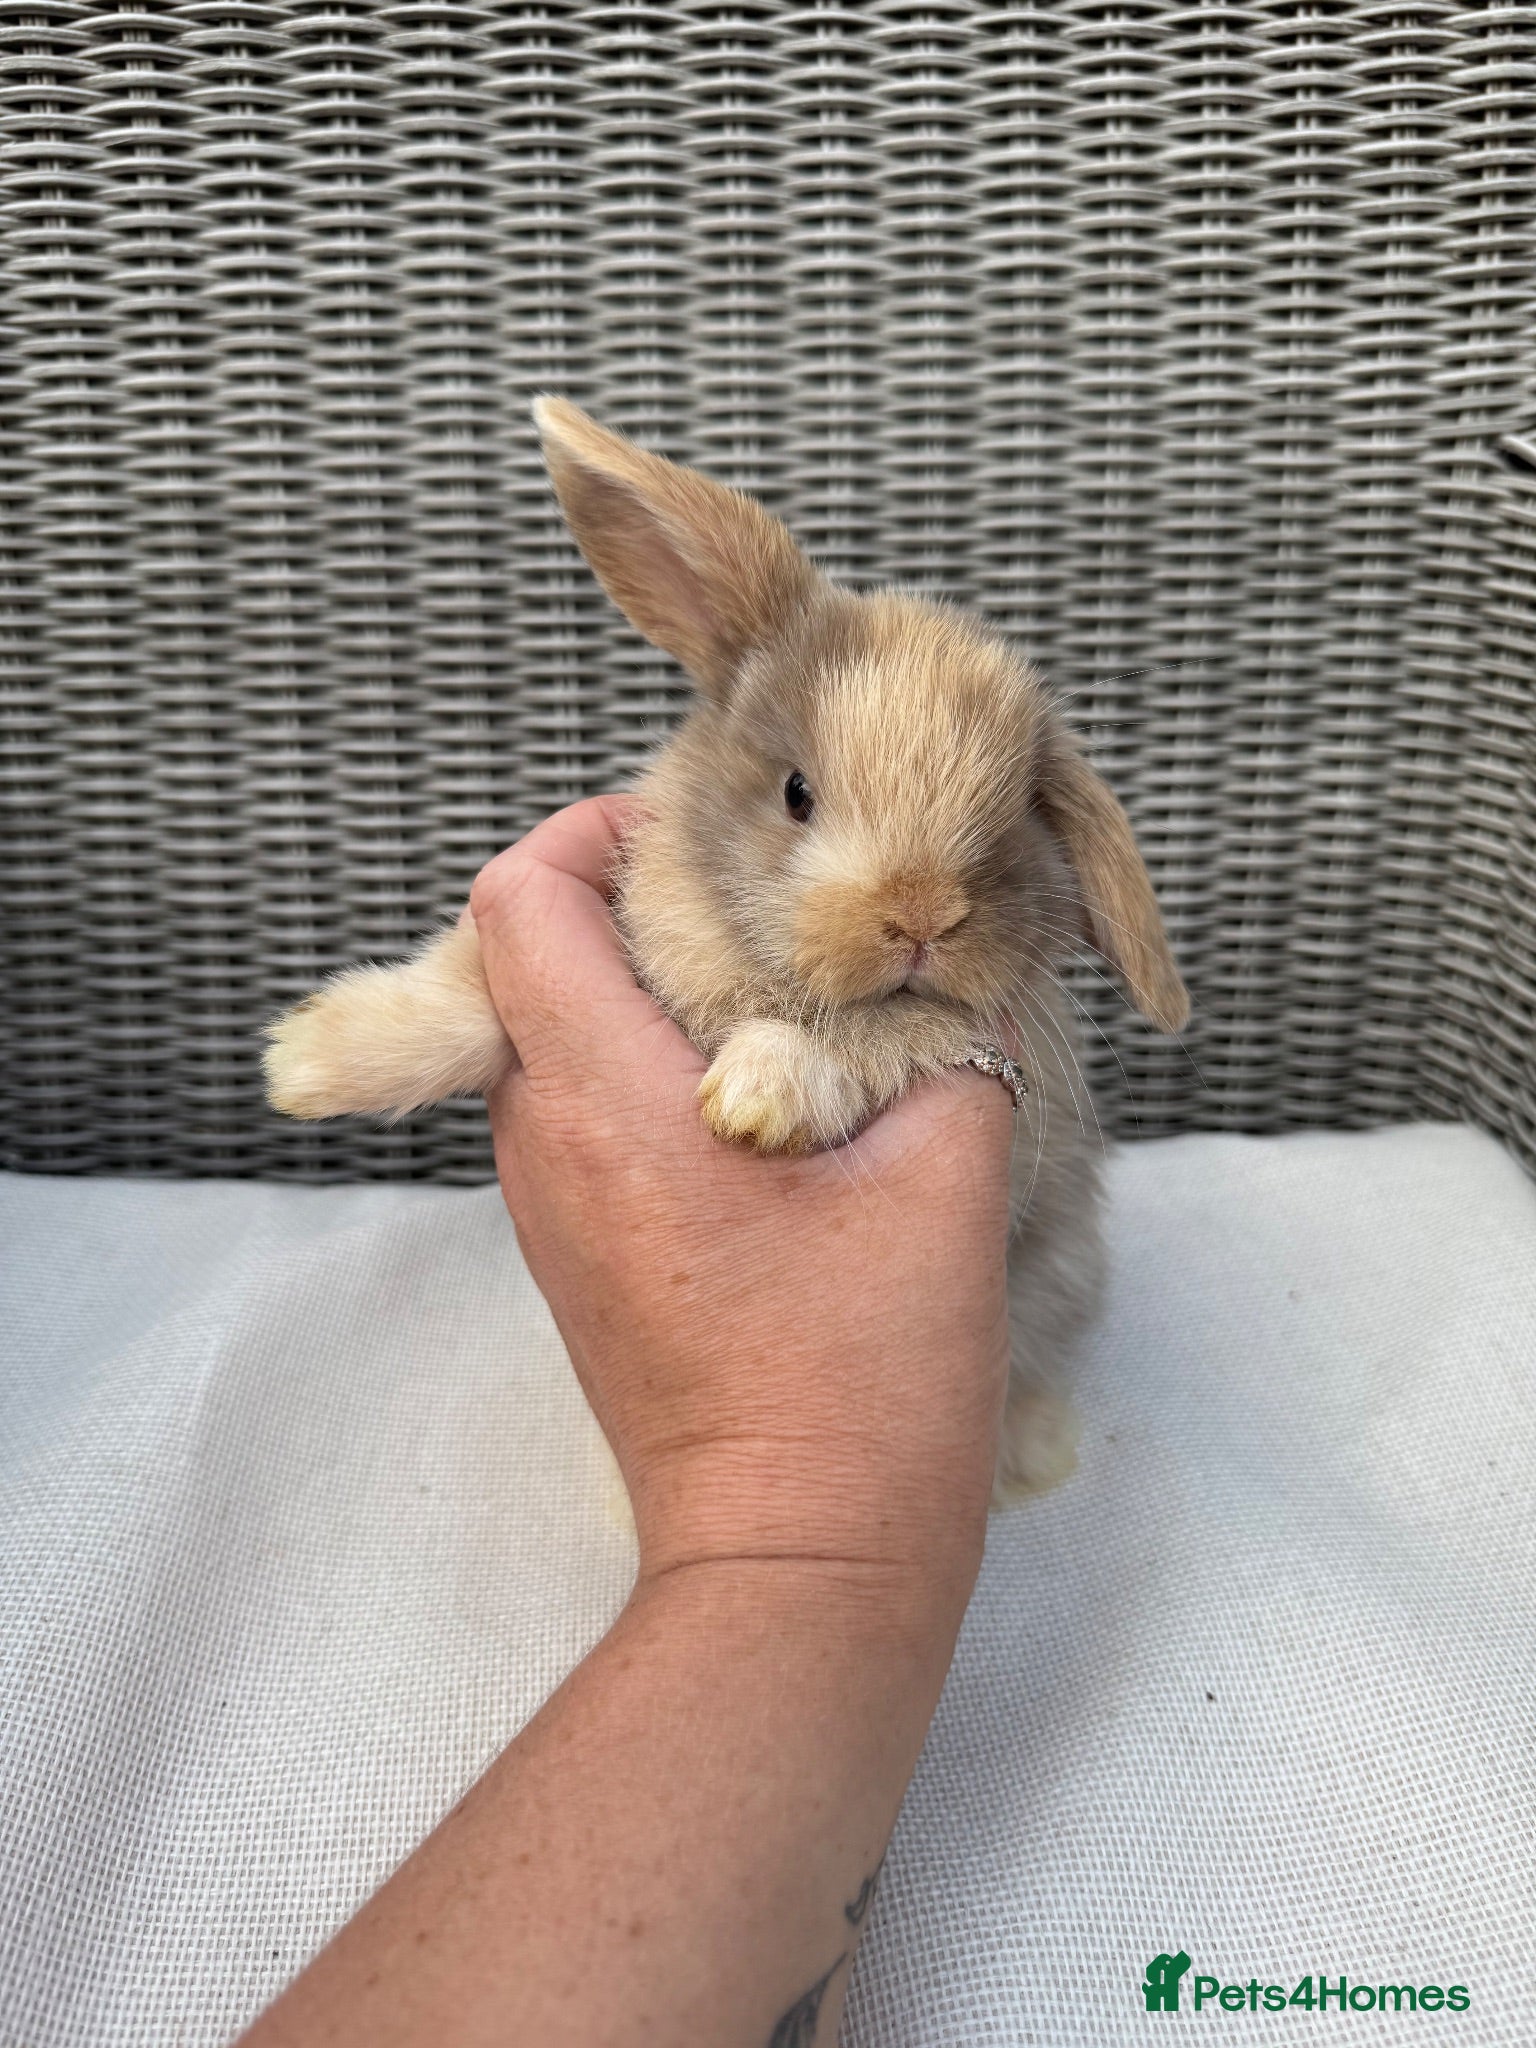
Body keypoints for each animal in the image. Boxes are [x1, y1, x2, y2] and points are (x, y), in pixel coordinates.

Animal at [264, 397, 1189, 1504]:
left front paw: (760, 1092)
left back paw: (1036, 1455)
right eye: (796, 792)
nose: (920, 916)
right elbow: (467, 997)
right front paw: (305, 1061)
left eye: (1014, 822)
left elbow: (869, 1044)